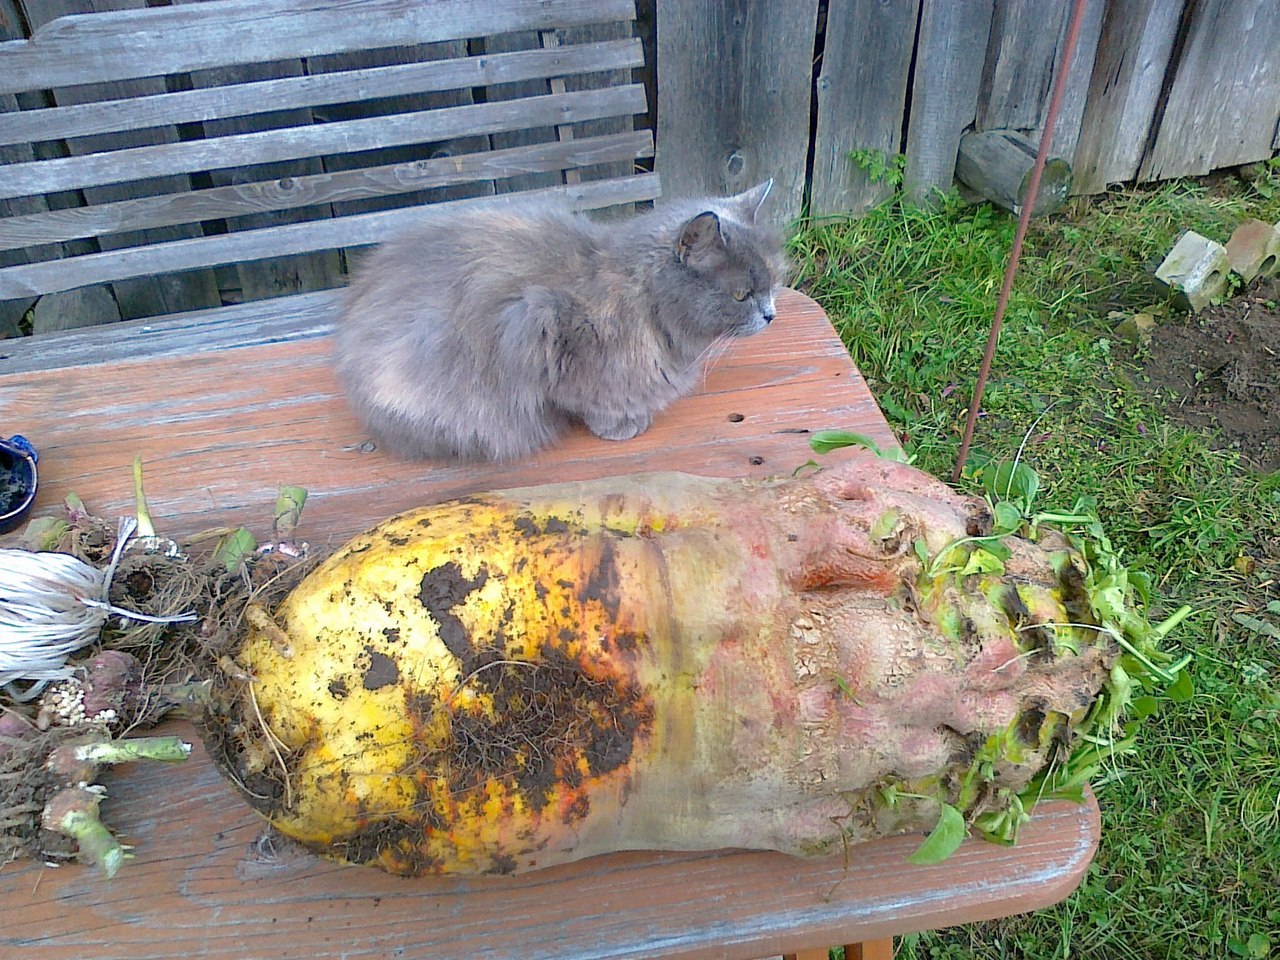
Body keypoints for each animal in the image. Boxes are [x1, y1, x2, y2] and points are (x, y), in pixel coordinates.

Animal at [330, 183, 783, 465]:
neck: (640, 299)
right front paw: (620, 424)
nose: (771, 314)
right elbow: (591, 397)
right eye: (741, 295)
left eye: (775, 282)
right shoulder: (541, 327)